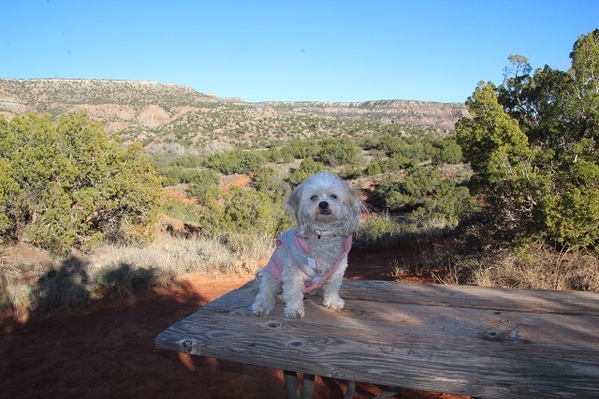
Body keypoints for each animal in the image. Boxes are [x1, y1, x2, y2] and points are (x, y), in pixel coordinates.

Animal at [251, 172, 364, 318]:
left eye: (333, 196)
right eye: (313, 197)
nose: (323, 204)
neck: (322, 235)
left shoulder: (338, 269)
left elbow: (332, 287)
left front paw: (333, 302)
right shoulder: (293, 272)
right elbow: (293, 292)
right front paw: (294, 310)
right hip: (271, 276)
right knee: (265, 293)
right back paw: (262, 306)